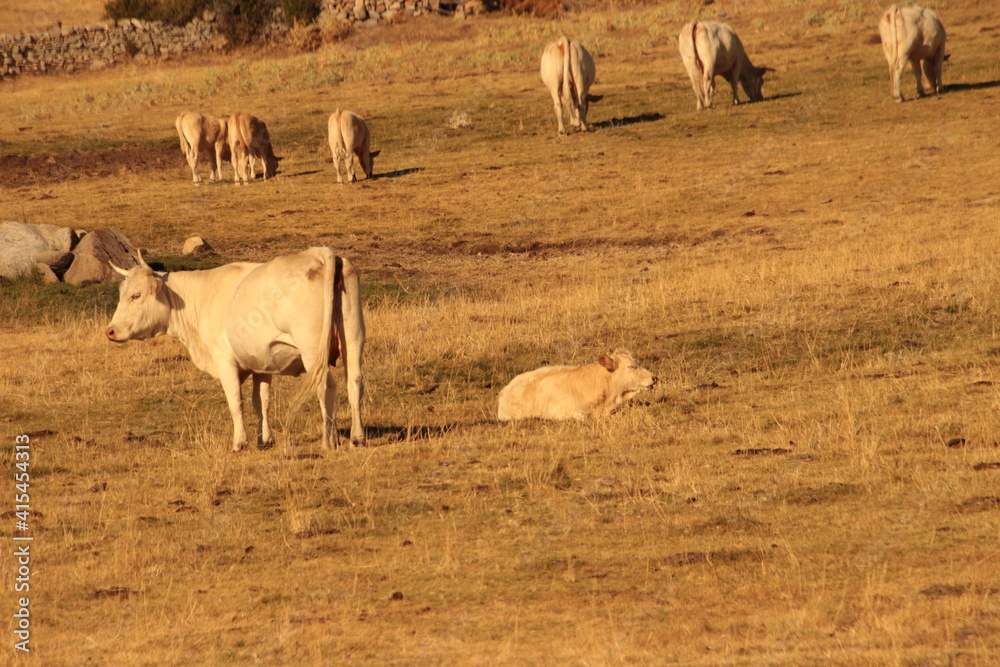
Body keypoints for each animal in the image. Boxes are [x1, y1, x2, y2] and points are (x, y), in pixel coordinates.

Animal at [105, 248, 366, 452]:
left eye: (136, 295)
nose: (111, 331)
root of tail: (318, 253)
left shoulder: (224, 361)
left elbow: (235, 401)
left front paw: (240, 443)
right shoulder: (263, 362)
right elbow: (261, 401)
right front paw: (265, 440)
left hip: (312, 348)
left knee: (325, 385)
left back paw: (329, 440)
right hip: (353, 338)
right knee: (354, 382)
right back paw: (357, 437)